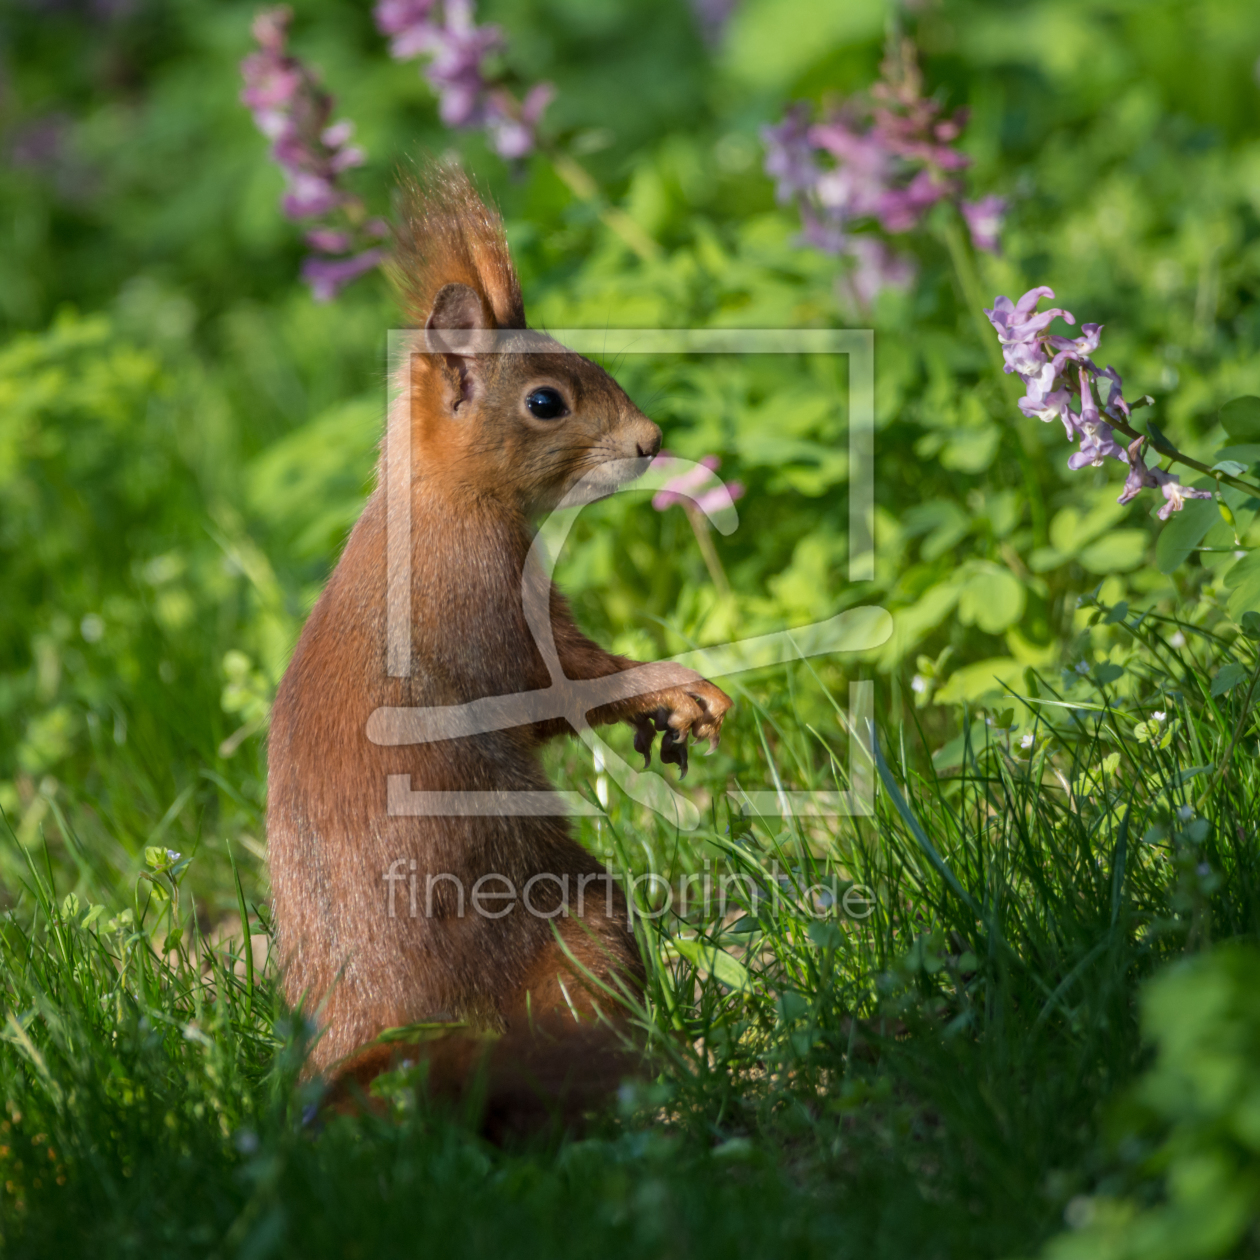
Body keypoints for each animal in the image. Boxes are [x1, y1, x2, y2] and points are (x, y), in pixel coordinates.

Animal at [270, 162, 735, 1139]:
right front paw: (675, 690)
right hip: (580, 922)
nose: (652, 442)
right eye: (546, 402)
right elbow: (571, 689)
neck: (443, 503)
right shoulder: (501, 622)